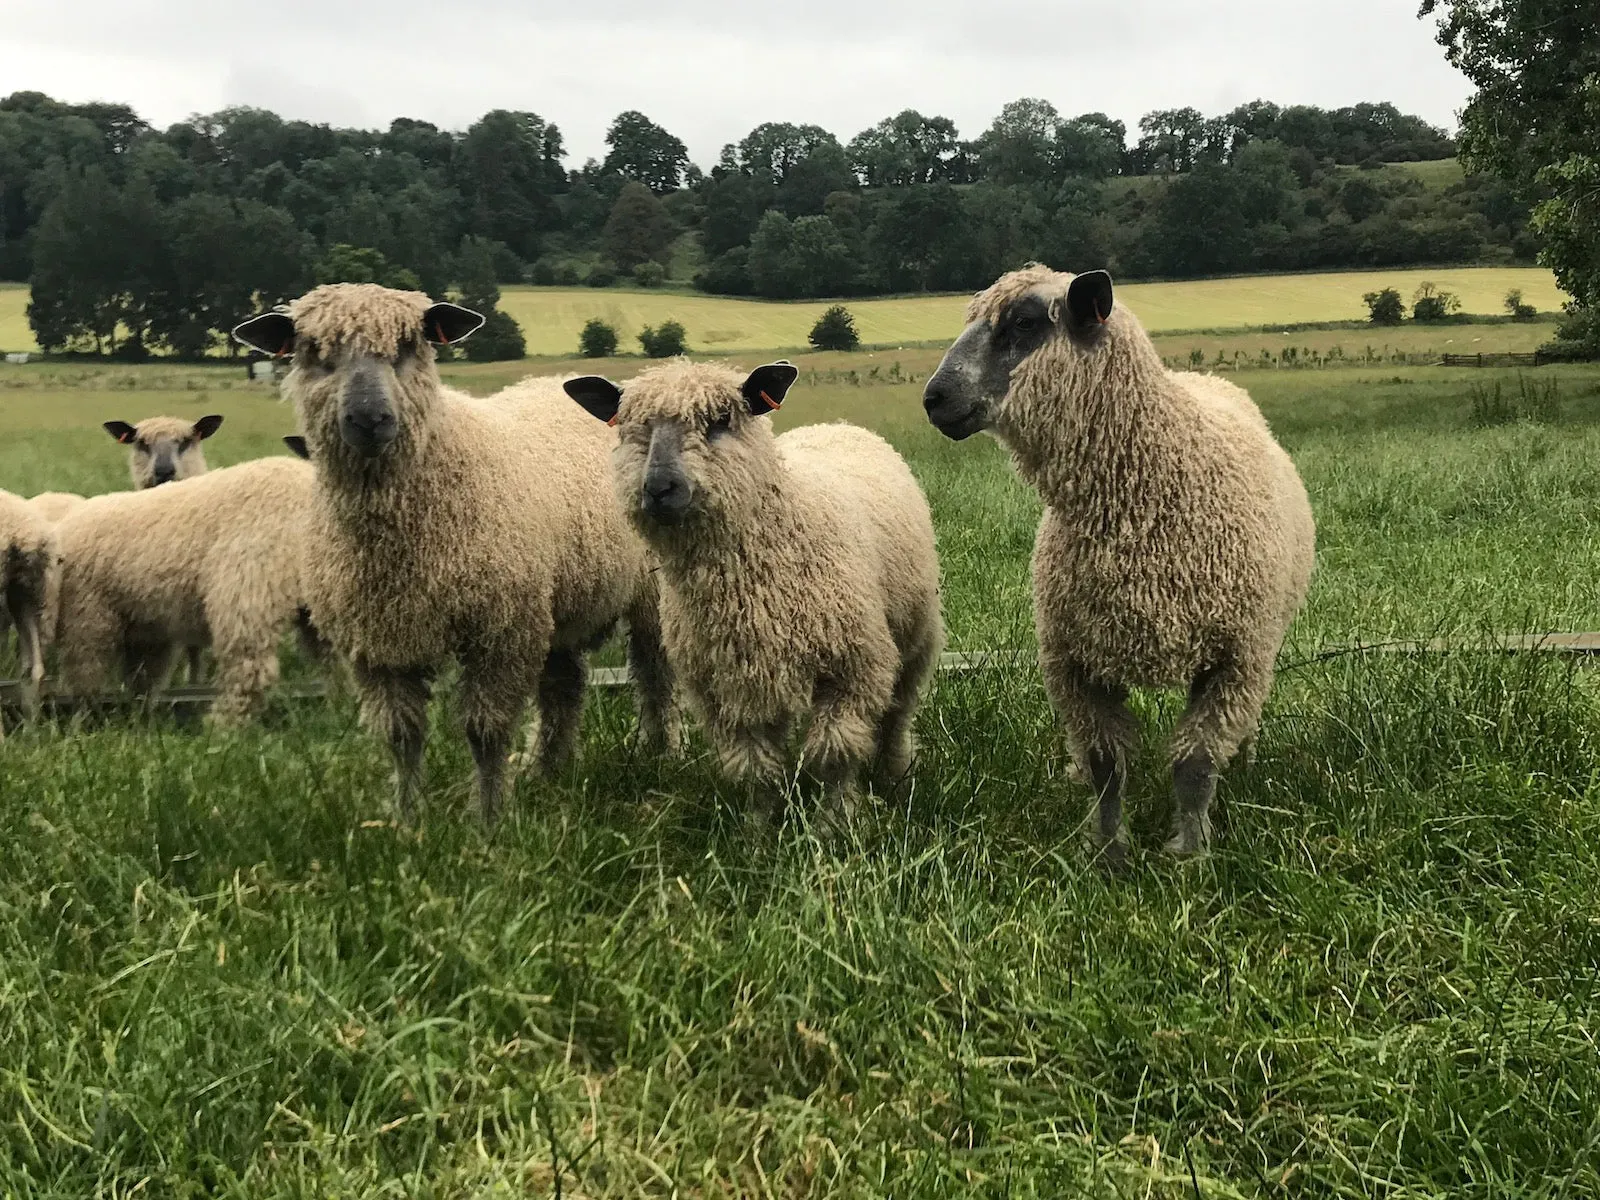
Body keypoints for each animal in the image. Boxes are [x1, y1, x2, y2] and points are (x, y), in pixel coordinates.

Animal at [54, 457, 315, 723]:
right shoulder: (146, 630)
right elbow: (143, 677)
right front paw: (139, 717)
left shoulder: (88, 618)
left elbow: (86, 676)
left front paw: (85, 718)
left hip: (247, 588)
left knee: (248, 669)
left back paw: (222, 722)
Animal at [232, 283, 675, 825]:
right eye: (314, 350)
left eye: (409, 346)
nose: (369, 419)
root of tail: (556, 382)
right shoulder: (377, 644)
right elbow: (401, 736)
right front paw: (407, 818)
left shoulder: (499, 632)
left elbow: (484, 732)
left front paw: (488, 820)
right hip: (552, 601)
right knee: (564, 685)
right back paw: (546, 769)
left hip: (645, 592)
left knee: (653, 675)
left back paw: (659, 751)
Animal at [566, 361, 940, 825]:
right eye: (631, 427)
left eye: (720, 420)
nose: (658, 487)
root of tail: (838, 425)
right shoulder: (727, 688)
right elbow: (754, 768)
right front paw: (759, 830)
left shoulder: (853, 668)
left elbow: (834, 755)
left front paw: (835, 823)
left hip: (915, 638)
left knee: (896, 716)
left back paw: (896, 774)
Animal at [921, 267, 1318, 857]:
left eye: (1024, 323)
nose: (934, 398)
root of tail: (1202, 376)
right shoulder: (1078, 661)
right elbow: (1107, 765)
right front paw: (1109, 853)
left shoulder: (1234, 659)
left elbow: (1196, 764)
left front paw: (1190, 853)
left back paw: (1243, 762)